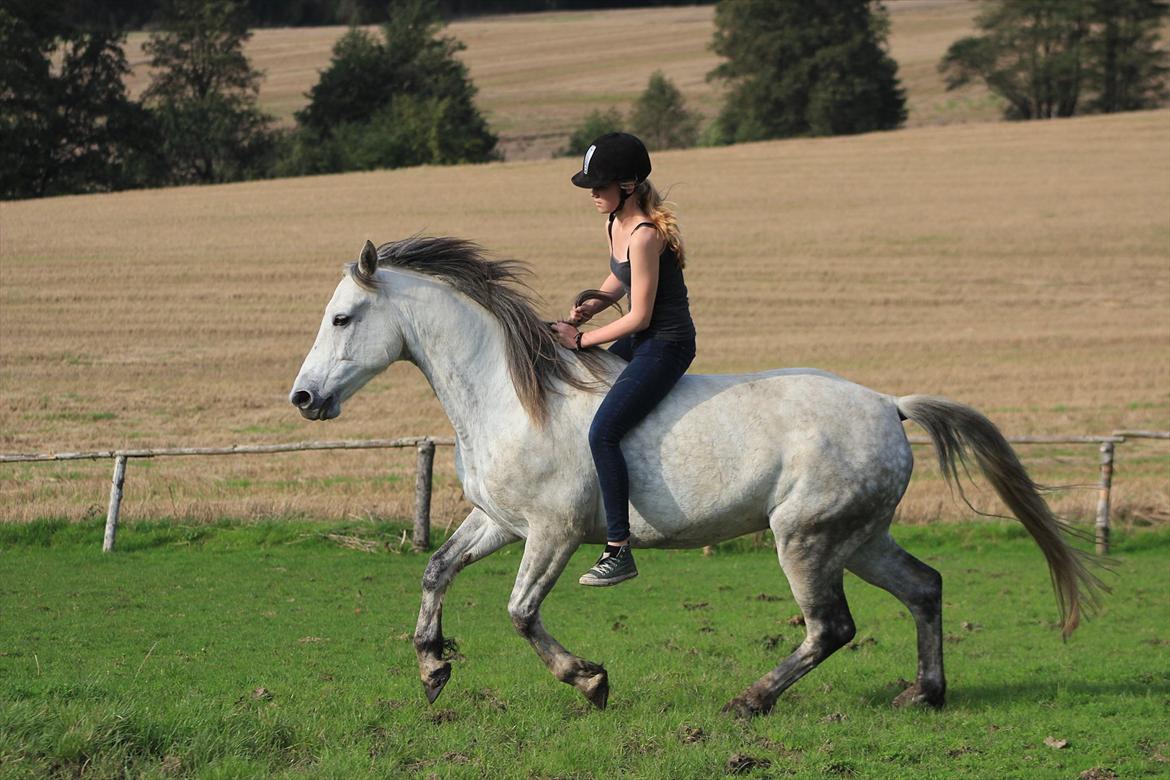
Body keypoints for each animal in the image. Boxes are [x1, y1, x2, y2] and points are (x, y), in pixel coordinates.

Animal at [287, 238, 1099, 720]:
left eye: (342, 317)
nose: (302, 399)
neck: (511, 397)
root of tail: (888, 404)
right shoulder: (500, 522)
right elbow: (435, 569)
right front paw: (432, 669)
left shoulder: (552, 532)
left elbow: (520, 611)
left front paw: (590, 681)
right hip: (859, 538)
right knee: (924, 588)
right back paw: (922, 694)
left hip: (804, 538)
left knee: (830, 627)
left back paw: (750, 701)